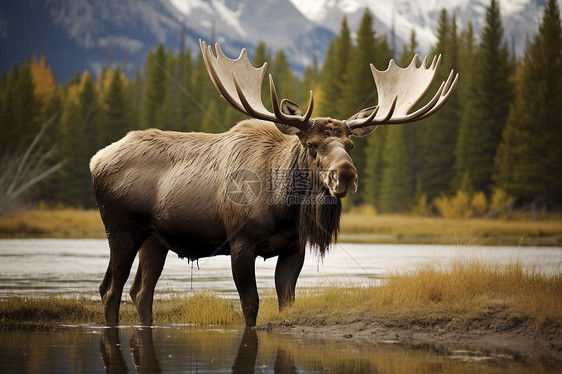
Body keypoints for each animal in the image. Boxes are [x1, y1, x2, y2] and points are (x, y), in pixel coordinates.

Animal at [88, 40, 456, 328]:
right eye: (312, 145)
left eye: (350, 145)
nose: (346, 175)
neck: (282, 208)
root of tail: (95, 160)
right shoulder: (240, 242)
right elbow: (250, 307)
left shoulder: (294, 247)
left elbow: (286, 302)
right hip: (121, 228)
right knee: (111, 289)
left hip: (156, 238)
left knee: (140, 291)